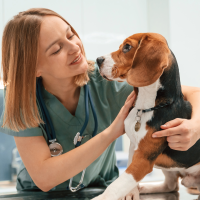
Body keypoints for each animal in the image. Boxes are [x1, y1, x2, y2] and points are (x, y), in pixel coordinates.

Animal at [93, 32, 200, 200]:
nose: (98, 60)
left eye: (127, 47)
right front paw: (131, 193)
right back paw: (145, 187)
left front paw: (103, 197)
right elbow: (127, 178)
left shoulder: (143, 157)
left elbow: (116, 184)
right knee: (170, 185)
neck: (144, 108)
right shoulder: (133, 146)